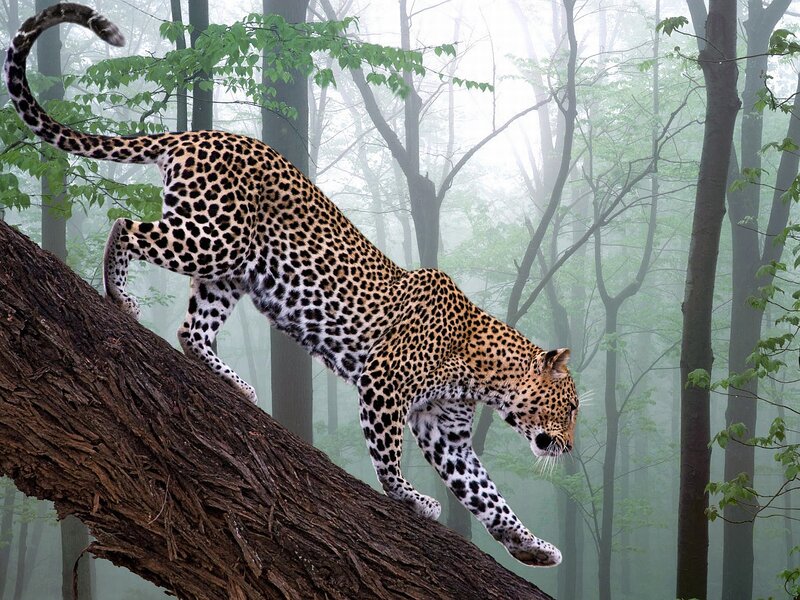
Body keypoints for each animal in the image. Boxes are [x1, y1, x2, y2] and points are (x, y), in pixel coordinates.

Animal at [5, 3, 579, 567]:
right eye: (570, 407)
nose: (570, 448)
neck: (483, 373)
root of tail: (200, 134)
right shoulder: (384, 385)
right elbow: (388, 456)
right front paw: (410, 499)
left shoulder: (448, 433)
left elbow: (487, 494)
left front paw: (531, 546)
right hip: (213, 238)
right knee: (126, 226)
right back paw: (120, 295)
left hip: (231, 270)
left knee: (192, 330)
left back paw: (234, 383)